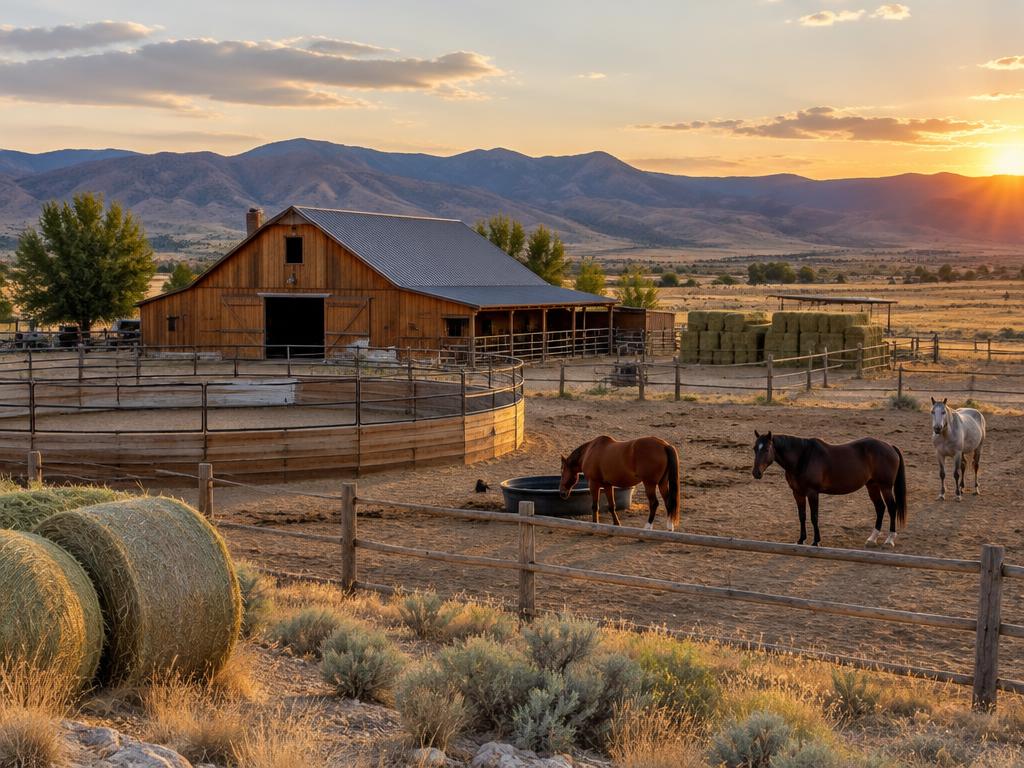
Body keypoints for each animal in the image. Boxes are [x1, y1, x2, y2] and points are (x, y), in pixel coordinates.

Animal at [751, 431, 907, 548]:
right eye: (754, 449)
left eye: (766, 449)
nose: (756, 473)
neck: (803, 457)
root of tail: (890, 446)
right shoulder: (798, 493)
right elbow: (802, 516)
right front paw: (801, 540)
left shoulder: (812, 493)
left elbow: (814, 516)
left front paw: (816, 541)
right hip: (872, 486)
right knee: (880, 508)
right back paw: (872, 539)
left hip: (885, 487)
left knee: (892, 508)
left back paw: (889, 539)